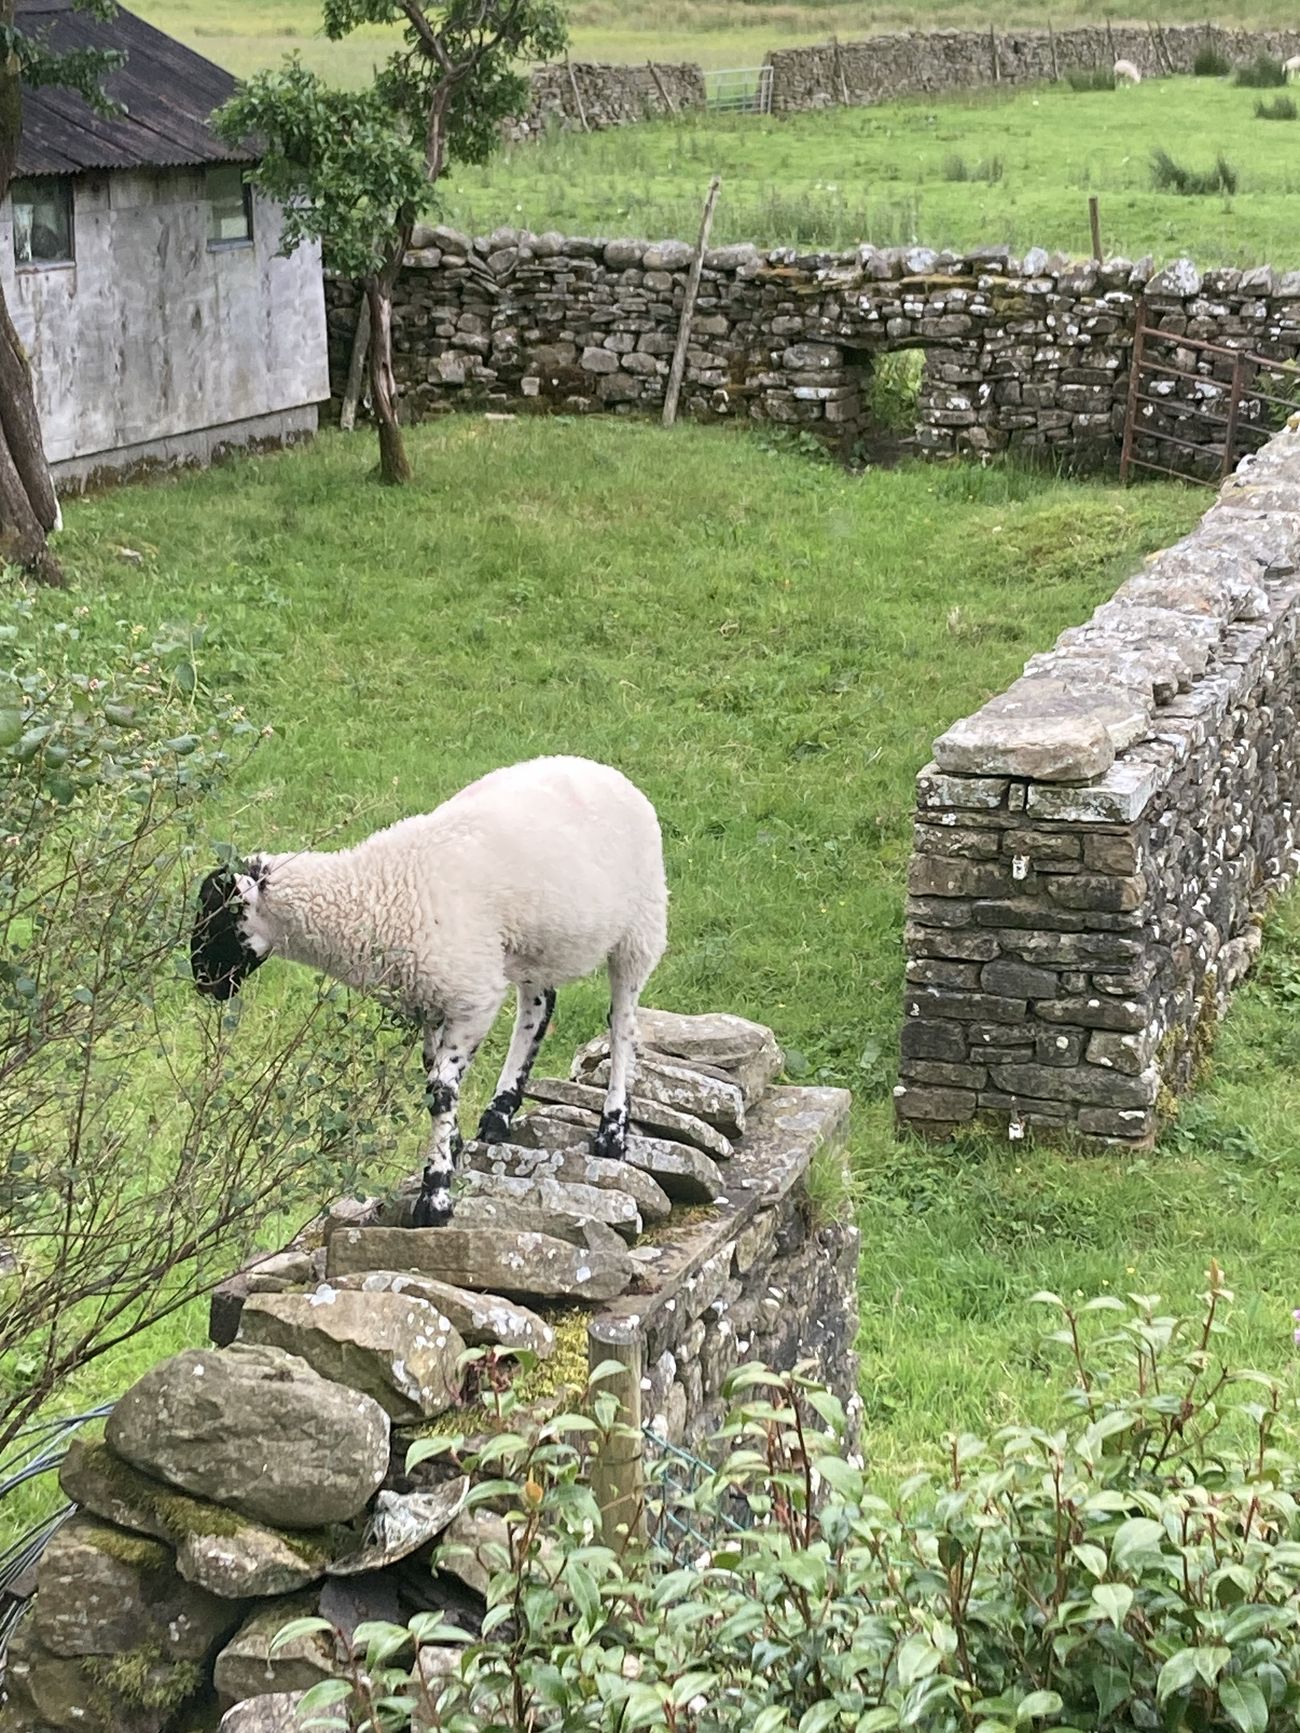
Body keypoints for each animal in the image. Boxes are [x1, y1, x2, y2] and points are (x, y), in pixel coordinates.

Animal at [190, 756, 668, 1229]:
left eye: (219, 918)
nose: (203, 983)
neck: (373, 893)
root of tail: (601, 768)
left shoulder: (472, 997)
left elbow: (440, 1091)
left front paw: (434, 1195)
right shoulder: (430, 999)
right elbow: (432, 1075)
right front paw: (452, 1148)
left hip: (640, 927)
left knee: (622, 1025)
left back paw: (612, 1131)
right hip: (532, 942)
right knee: (538, 1008)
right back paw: (500, 1113)